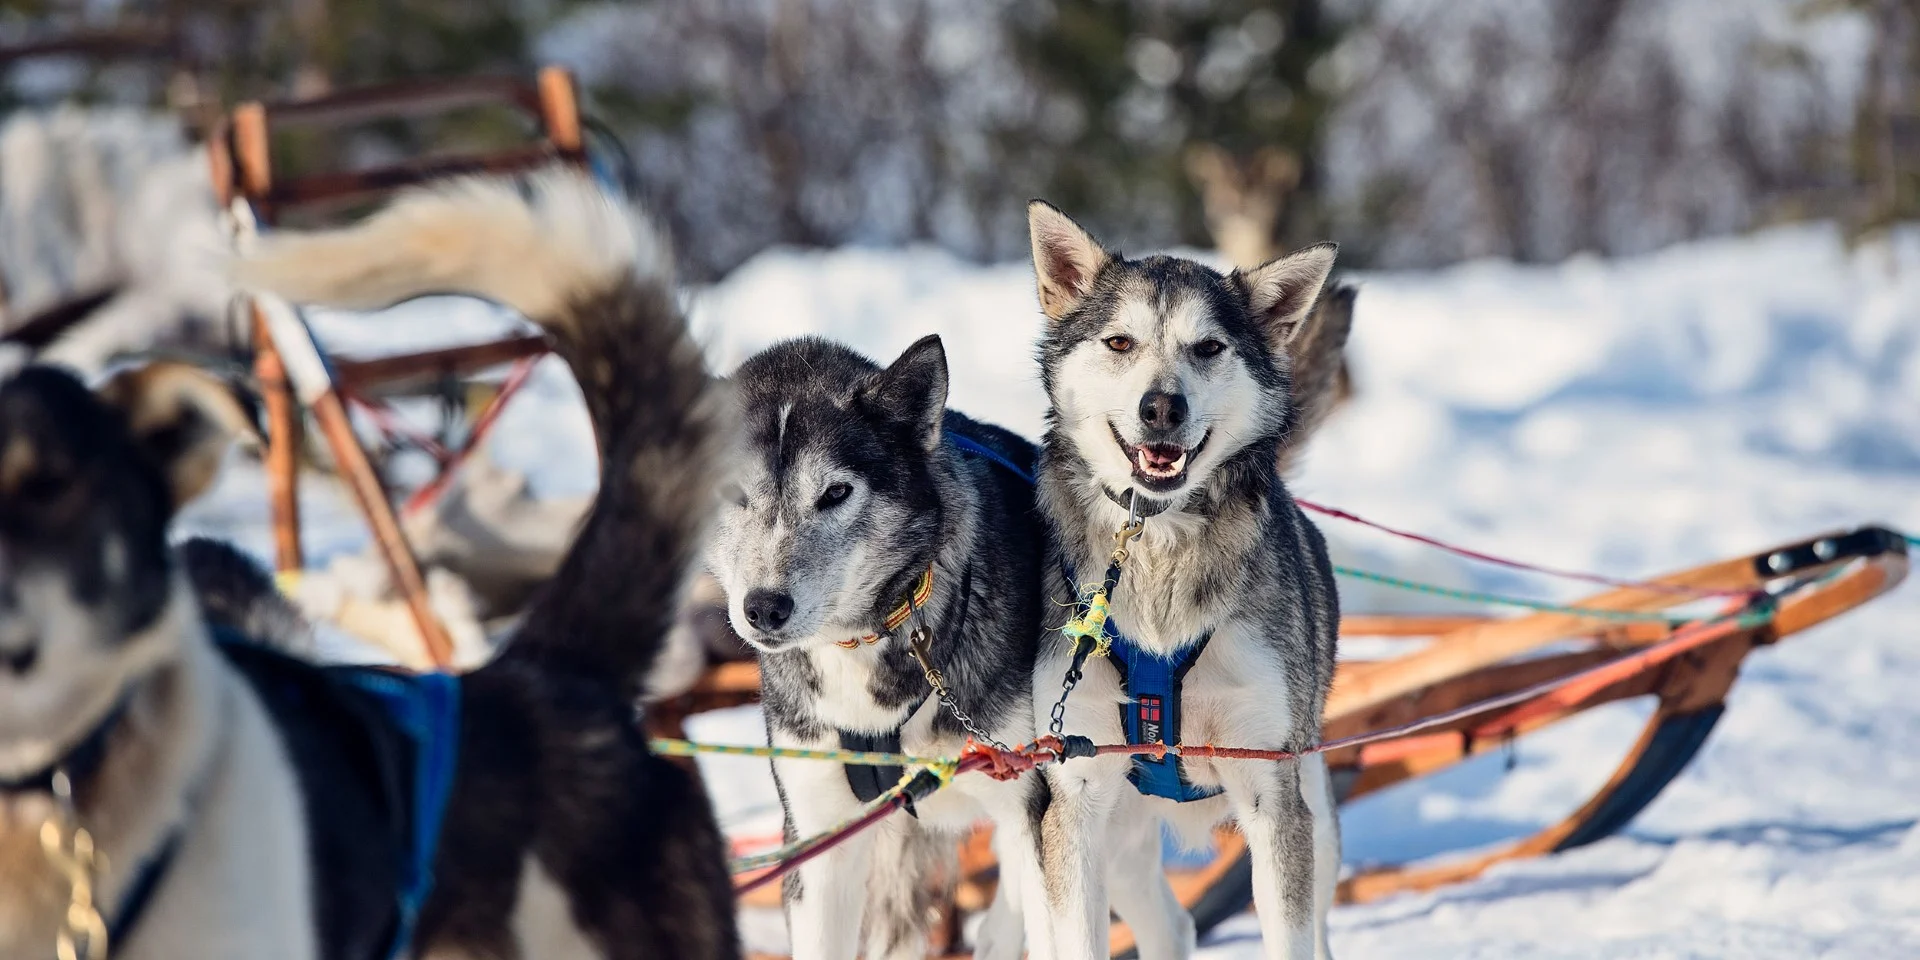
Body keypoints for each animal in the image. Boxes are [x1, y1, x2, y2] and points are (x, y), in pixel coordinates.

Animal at [1029, 204, 1344, 960]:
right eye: (1120, 341)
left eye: (1207, 348)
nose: (1161, 407)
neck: (1157, 546)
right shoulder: (1076, 794)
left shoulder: (1270, 786)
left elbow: (1289, 931)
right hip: (1119, 835)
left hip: (1315, 808)